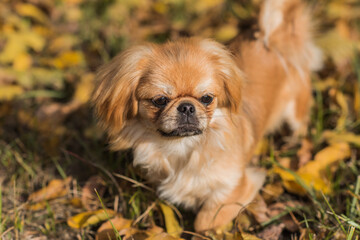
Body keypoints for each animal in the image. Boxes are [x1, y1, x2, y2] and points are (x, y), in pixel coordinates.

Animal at [91, 0, 322, 232]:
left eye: (206, 98)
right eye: (160, 100)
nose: (186, 107)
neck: (182, 148)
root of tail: (270, 38)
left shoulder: (235, 186)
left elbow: (203, 221)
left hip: (295, 111)